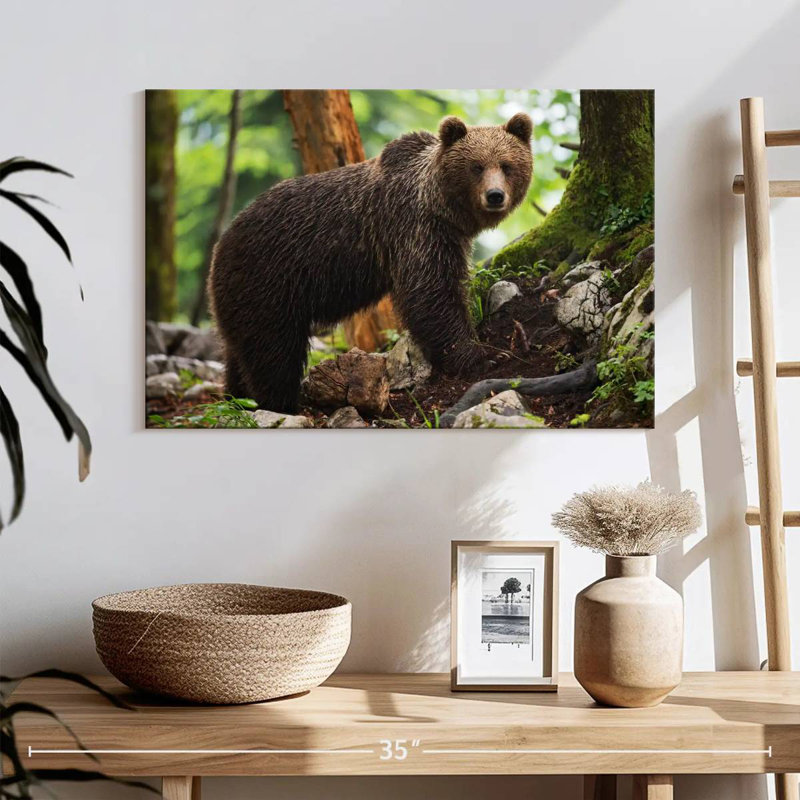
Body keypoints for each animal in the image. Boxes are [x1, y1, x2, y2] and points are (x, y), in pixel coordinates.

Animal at [208, 112, 533, 412]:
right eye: (476, 166)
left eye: (506, 165)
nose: (495, 195)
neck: (442, 207)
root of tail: (220, 245)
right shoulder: (415, 229)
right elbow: (431, 293)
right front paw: (485, 355)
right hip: (269, 281)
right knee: (274, 352)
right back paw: (281, 402)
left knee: (239, 351)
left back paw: (237, 397)